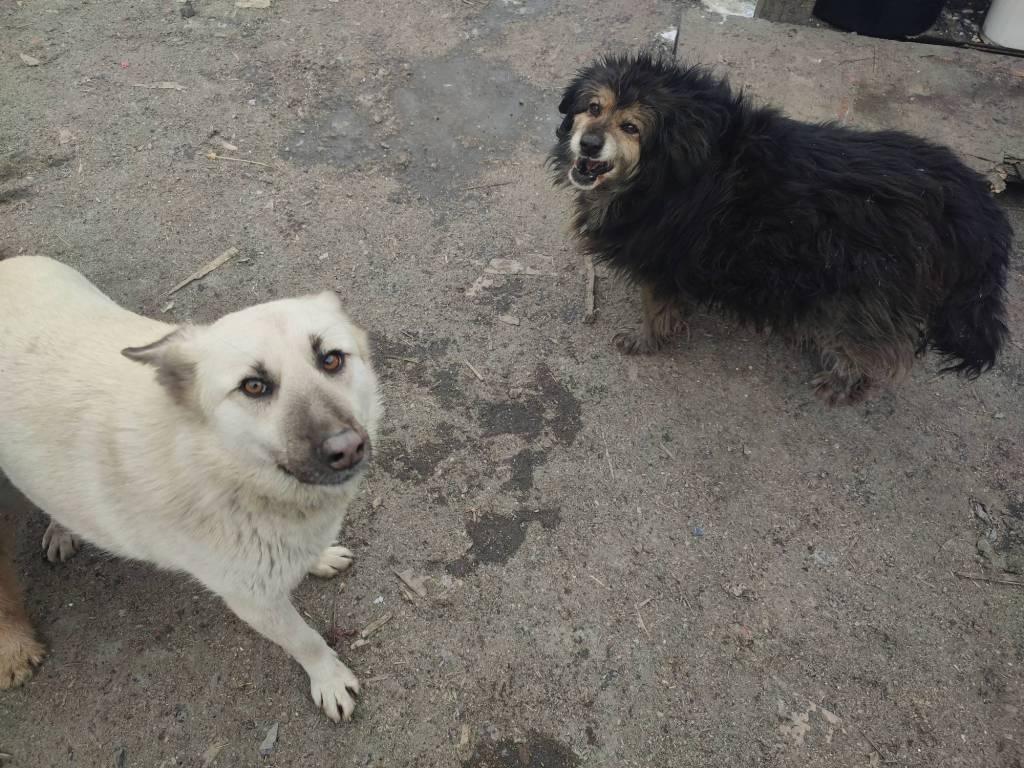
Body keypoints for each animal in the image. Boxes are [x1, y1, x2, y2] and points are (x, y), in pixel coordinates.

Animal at [0, 256, 381, 722]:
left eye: (331, 359)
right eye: (254, 386)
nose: (346, 449)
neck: (223, 470)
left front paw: (319, 557)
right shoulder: (253, 602)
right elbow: (305, 640)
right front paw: (328, 678)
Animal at [549, 53, 1011, 404]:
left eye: (631, 127)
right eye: (594, 108)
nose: (588, 144)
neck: (673, 163)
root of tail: (970, 201)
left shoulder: (662, 261)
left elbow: (656, 311)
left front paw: (645, 341)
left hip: (871, 292)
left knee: (883, 349)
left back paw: (844, 379)